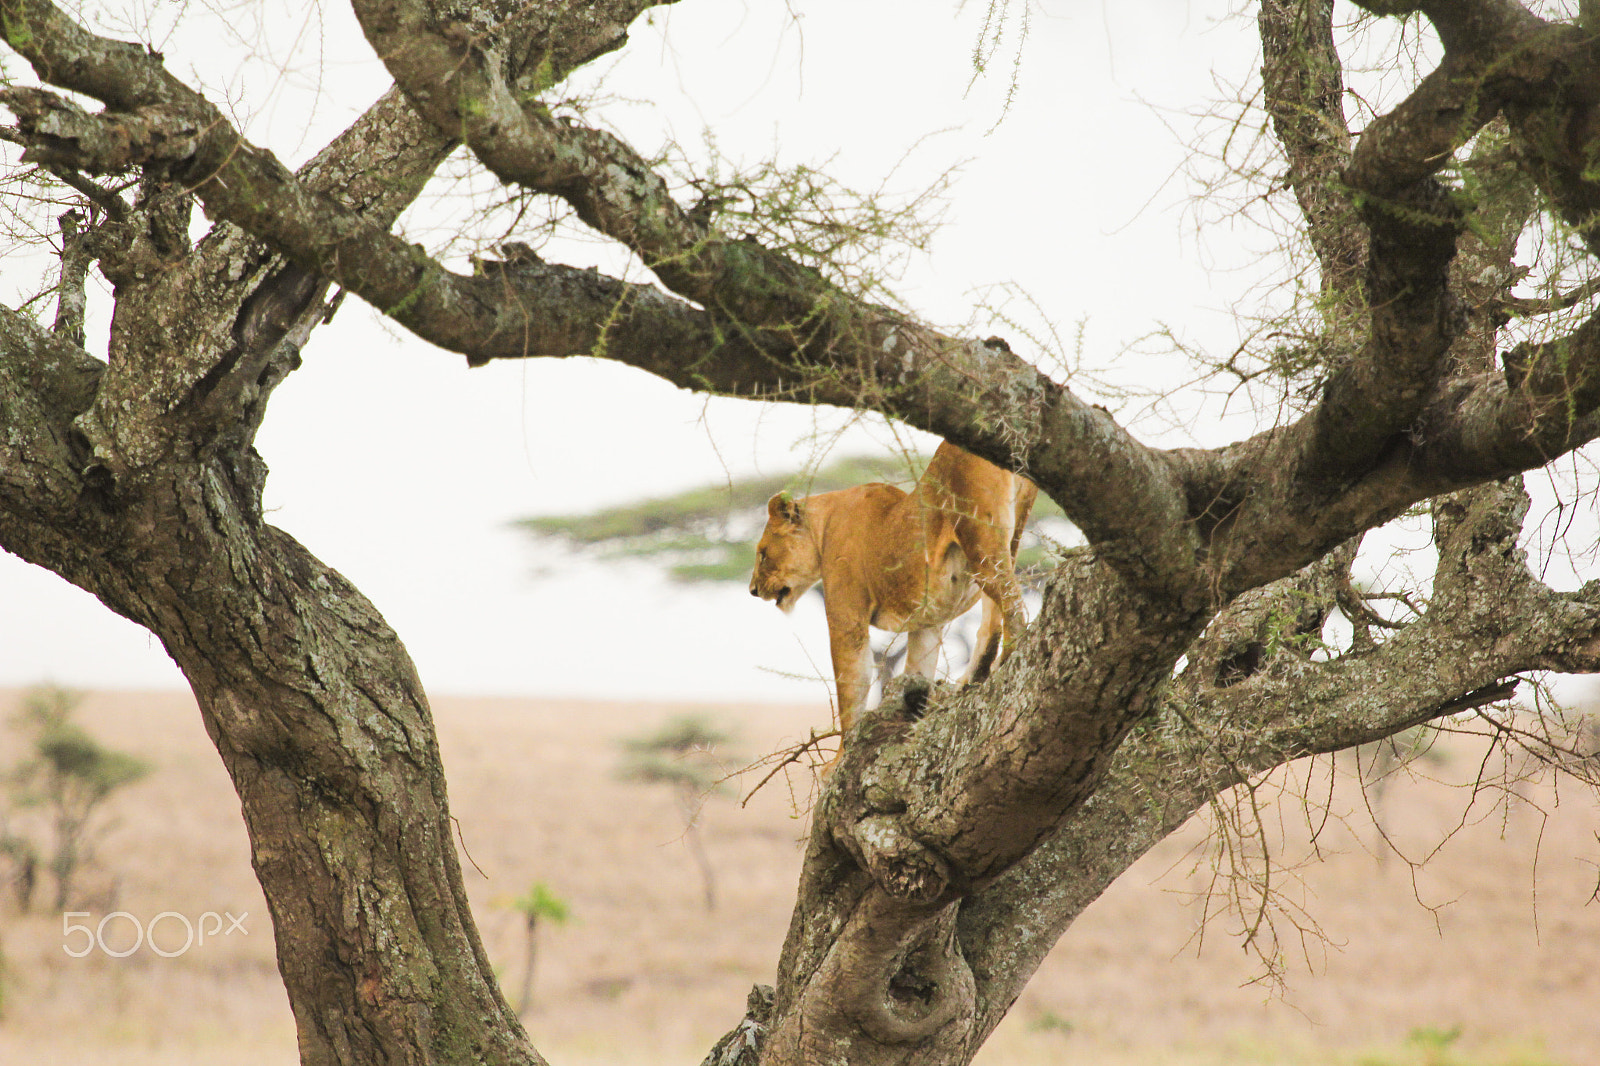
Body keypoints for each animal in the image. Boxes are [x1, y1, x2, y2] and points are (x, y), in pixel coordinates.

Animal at [748, 441, 1037, 743]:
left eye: (762, 554)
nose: (753, 590)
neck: (822, 527)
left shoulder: (847, 622)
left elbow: (851, 692)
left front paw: (845, 749)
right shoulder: (927, 621)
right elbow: (918, 667)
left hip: (980, 535)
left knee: (1012, 604)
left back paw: (1007, 658)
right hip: (1012, 536)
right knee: (994, 614)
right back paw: (972, 677)